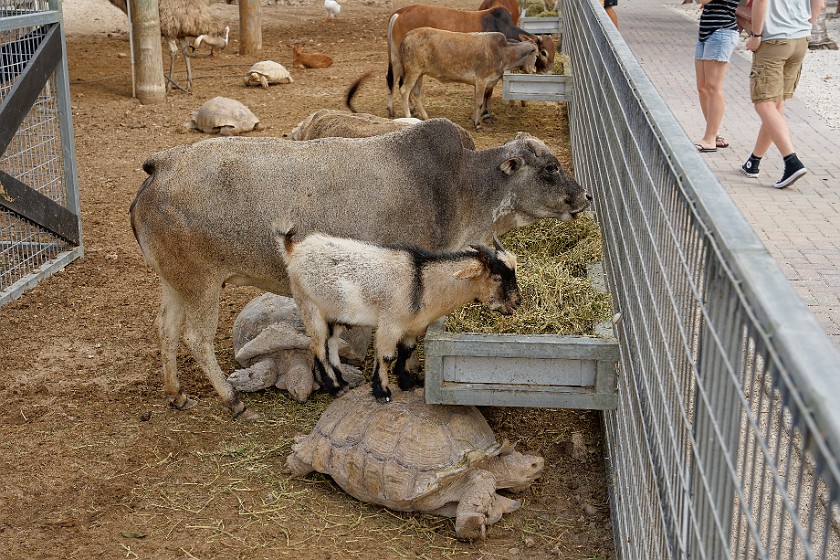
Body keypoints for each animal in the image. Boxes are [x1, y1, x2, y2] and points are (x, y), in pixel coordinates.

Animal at [277, 225, 522, 403]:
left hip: (336, 312)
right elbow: (386, 356)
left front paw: (406, 382)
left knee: (331, 344)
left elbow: (407, 350)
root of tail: (294, 250)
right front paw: (382, 392)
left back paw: (342, 382)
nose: (517, 303)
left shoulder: (413, 326)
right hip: (309, 306)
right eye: (497, 276)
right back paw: (335, 388)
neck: (421, 283)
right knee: (317, 346)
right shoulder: (390, 324)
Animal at [385, 4, 556, 118]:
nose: (549, 72)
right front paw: (486, 114)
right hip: (407, 65)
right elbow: (487, 94)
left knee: (393, 81)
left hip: (397, 59)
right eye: (543, 52)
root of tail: (398, 14)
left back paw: (393, 110)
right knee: (402, 86)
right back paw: (409, 112)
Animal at [398, 29, 539, 131]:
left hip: (420, 73)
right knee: (405, 91)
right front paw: (478, 125)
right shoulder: (482, 80)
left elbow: (481, 101)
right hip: (413, 71)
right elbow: (479, 102)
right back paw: (409, 117)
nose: (533, 71)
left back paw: (426, 117)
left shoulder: (485, 83)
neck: (503, 52)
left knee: (416, 93)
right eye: (537, 55)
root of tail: (406, 36)